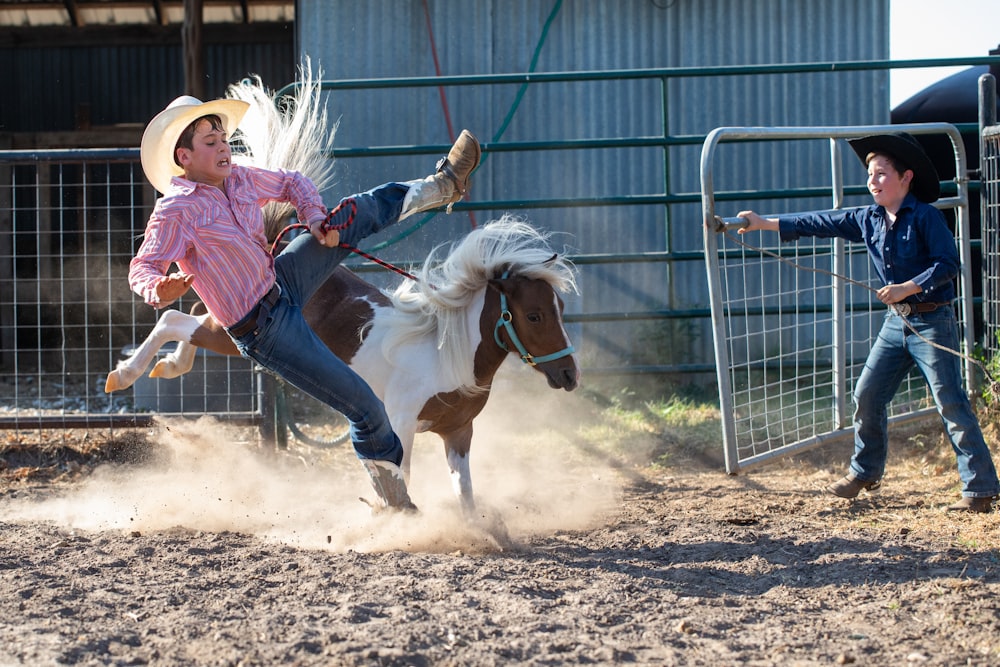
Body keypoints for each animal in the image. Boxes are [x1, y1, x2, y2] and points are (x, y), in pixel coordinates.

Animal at [108, 217, 580, 516]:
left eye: (559, 308)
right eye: (534, 315)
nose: (570, 375)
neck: (448, 355)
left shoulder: (459, 433)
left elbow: (464, 490)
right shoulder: (401, 422)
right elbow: (401, 473)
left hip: (234, 334)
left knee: (188, 318)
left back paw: (168, 366)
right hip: (244, 336)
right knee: (173, 319)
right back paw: (126, 373)